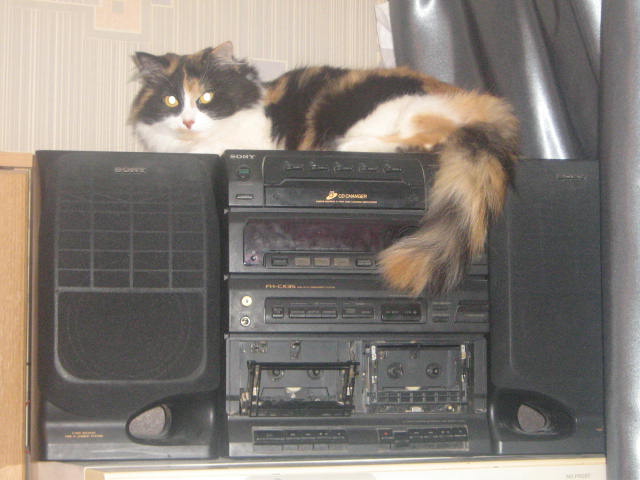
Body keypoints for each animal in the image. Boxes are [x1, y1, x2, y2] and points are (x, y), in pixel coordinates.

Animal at [130, 41, 519, 297]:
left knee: (423, 142)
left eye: (207, 97)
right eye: (171, 101)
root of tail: (484, 105)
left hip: (397, 110)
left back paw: (347, 146)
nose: (188, 121)